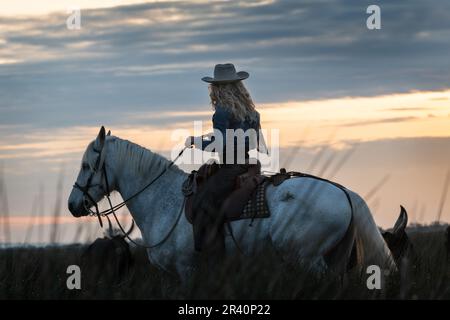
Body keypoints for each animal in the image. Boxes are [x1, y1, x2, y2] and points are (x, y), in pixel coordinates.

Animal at [67, 127, 398, 282]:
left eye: (86, 165)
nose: (72, 205)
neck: (163, 200)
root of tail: (343, 192)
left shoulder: (187, 270)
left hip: (310, 260)